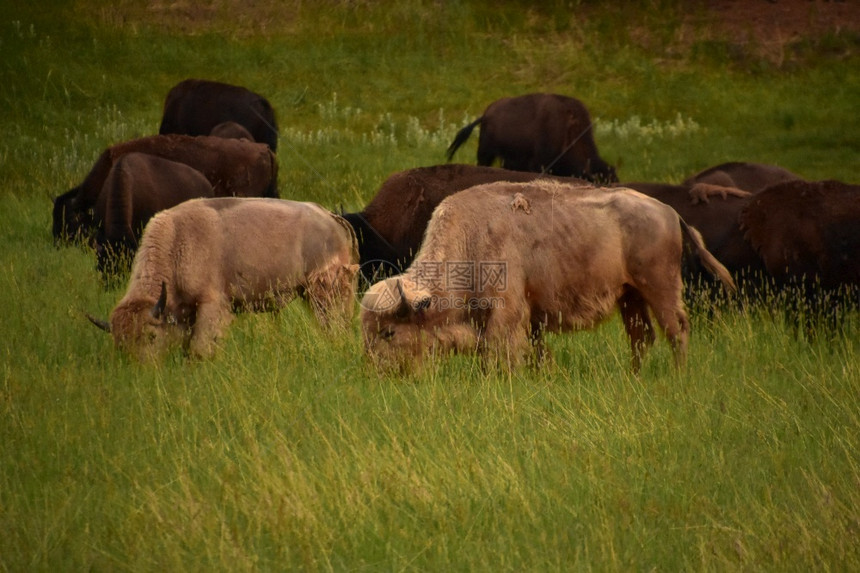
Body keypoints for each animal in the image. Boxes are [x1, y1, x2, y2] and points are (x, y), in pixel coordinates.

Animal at [92, 197, 362, 358]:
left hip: (324, 292)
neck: (177, 241)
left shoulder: (211, 304)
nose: (140, 370)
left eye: (150, 336)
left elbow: (200, 347)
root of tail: (332, 218)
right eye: (119, 343)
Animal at [360, 181, 736, 374]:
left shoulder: (507, 313)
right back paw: (635, 377)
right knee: (641, 336)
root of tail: (669, 212)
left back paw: (679, 376)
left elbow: (502, 351)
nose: (377, 372)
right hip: (630, 296)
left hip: (660, 288)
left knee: (676, 330)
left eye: (389, 332)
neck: (470, 237)